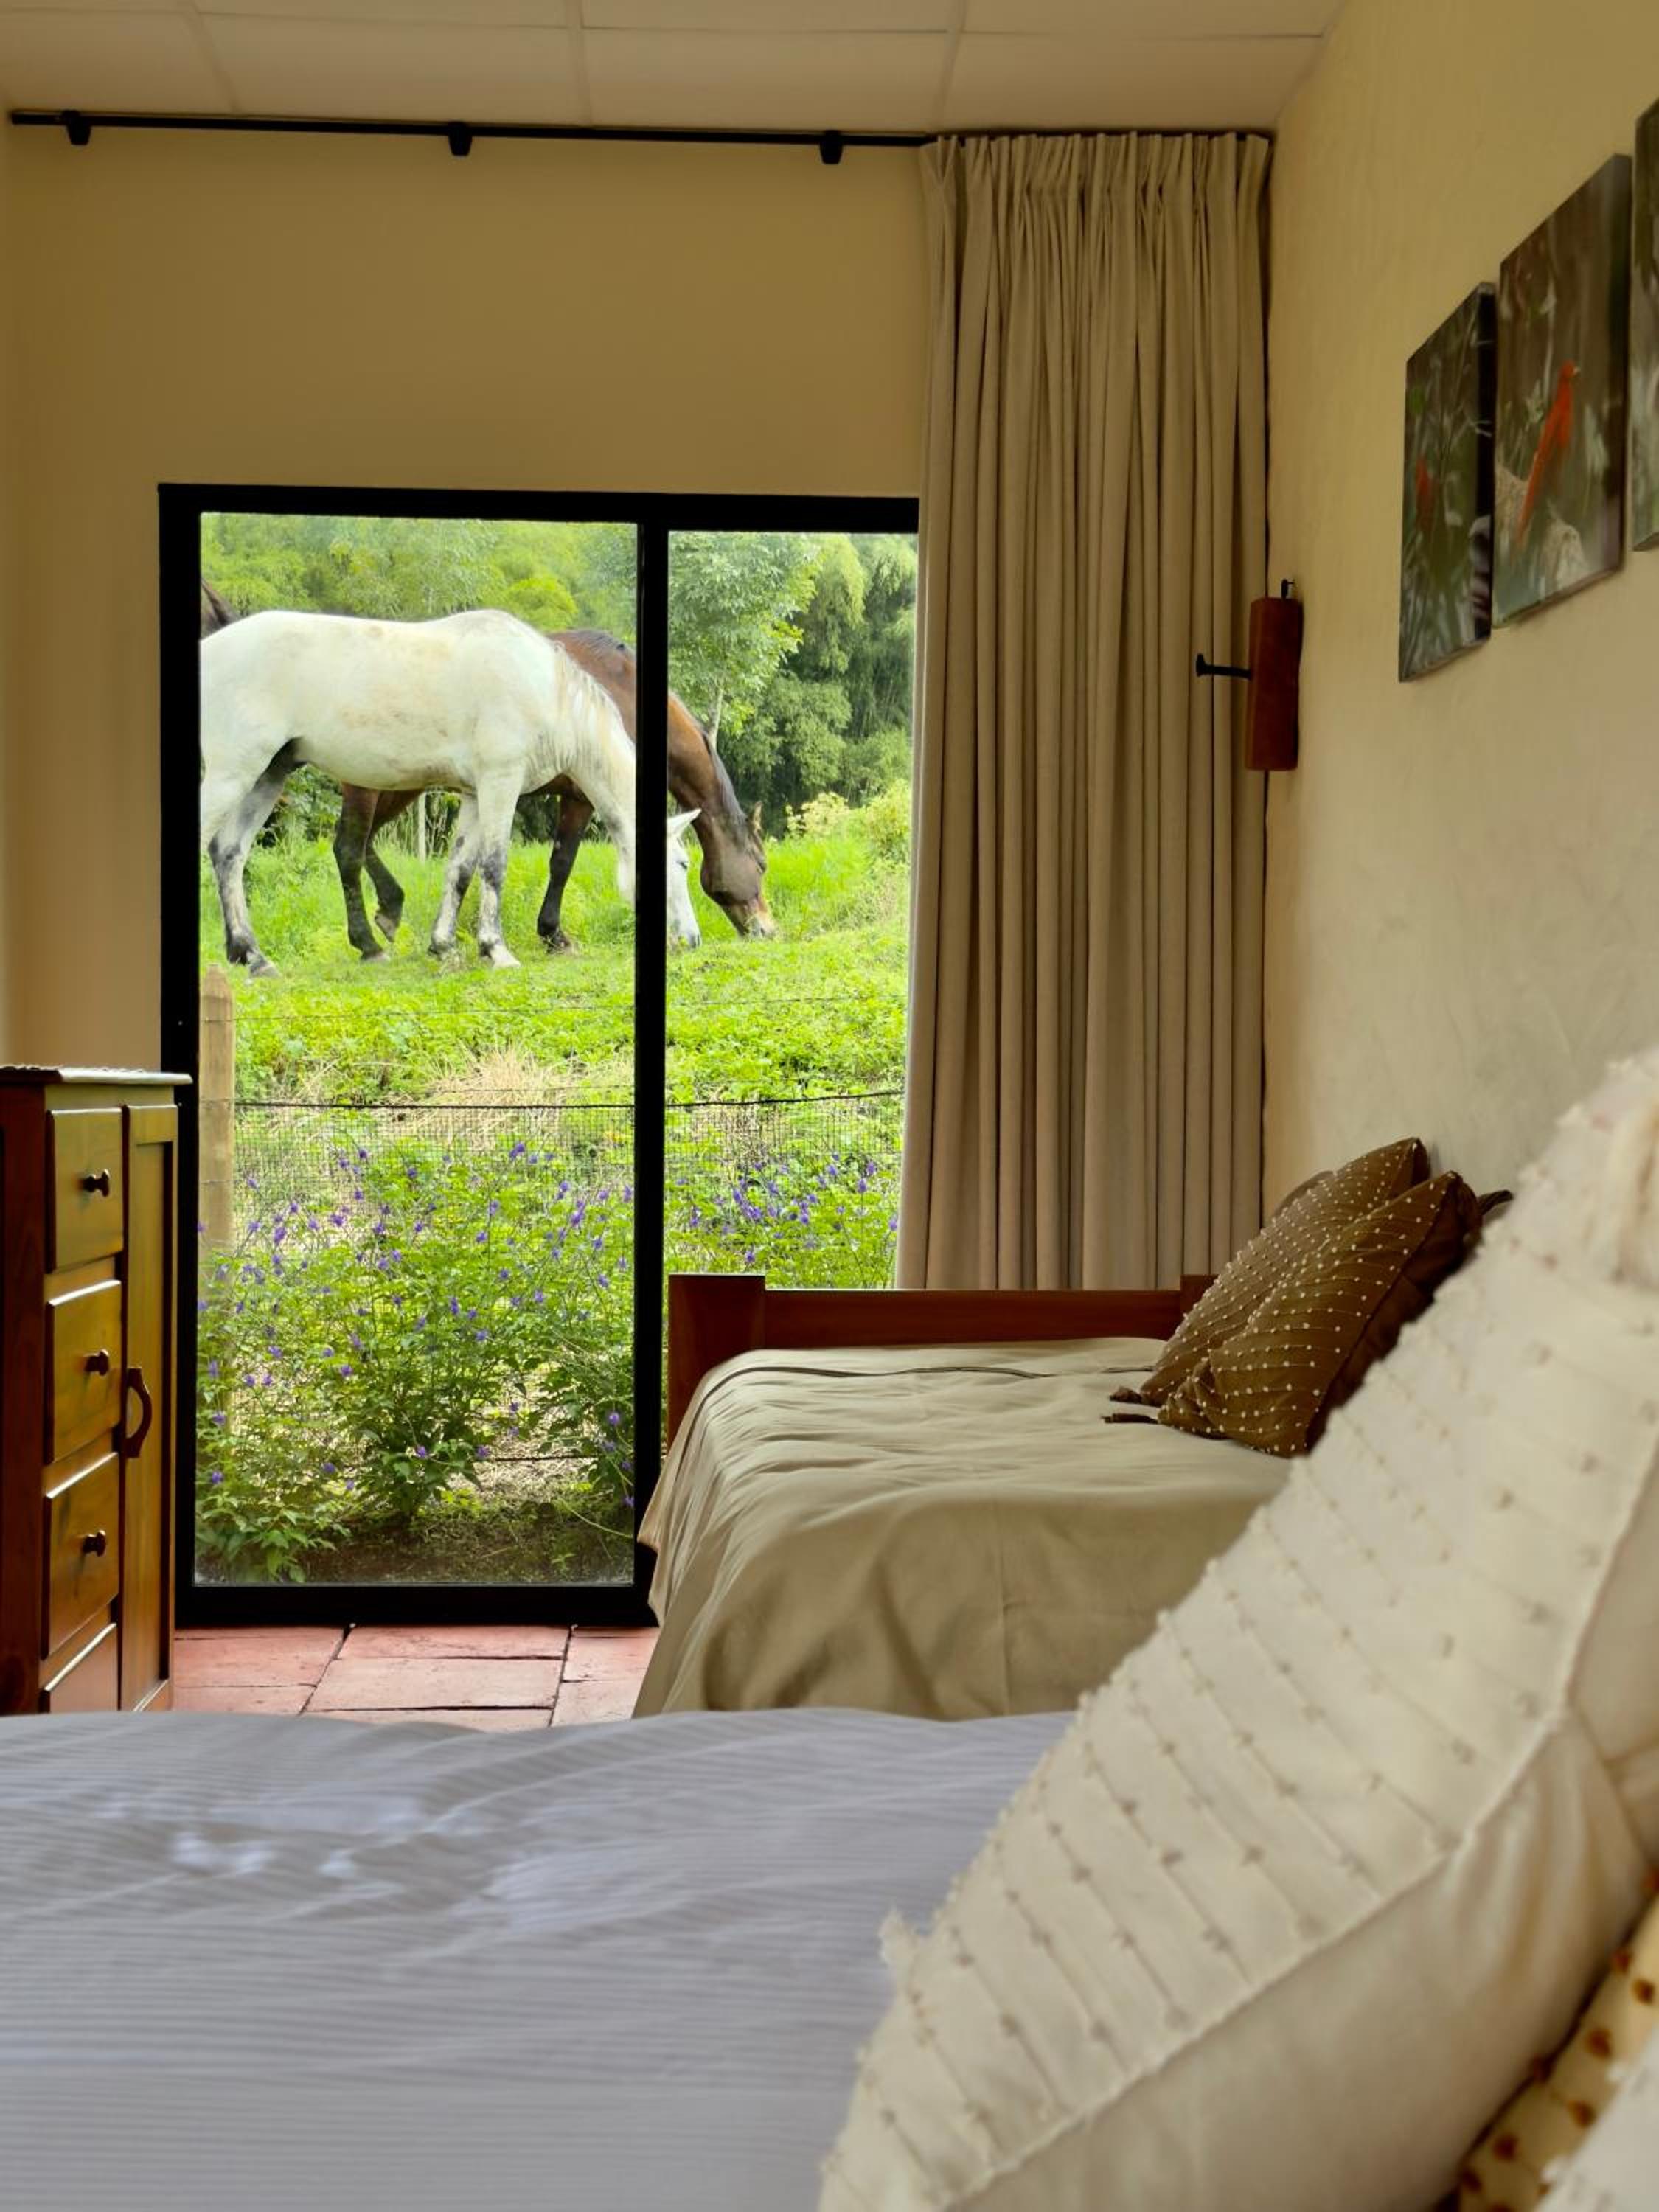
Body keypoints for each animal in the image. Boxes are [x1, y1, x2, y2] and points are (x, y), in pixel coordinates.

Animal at [199, 586, 775, 958]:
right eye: (679, 864)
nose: (692, 940)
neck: (547, 687)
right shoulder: (508, 785)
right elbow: (504, 864)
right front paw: (501, 947)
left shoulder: (475, 794)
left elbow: (460, 868)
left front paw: (445, 945)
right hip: (251, 775)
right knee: (342, 850)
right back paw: (363, 942)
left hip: (273, 775)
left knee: (231, 852)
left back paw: (252, 954)